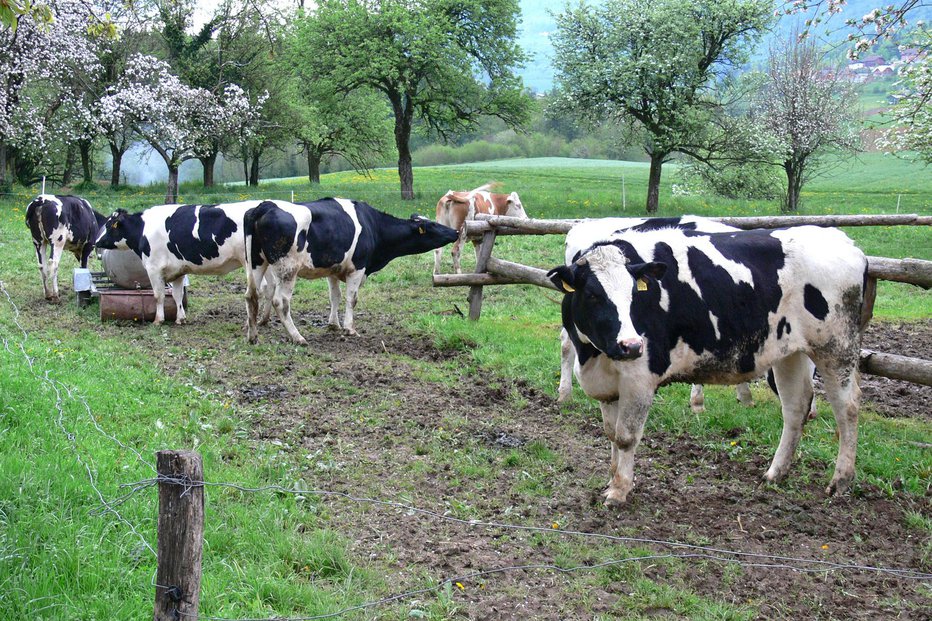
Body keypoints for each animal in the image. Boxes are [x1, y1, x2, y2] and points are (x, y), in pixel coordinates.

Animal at [95, 201, 288, 324]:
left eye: (109, 225)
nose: (96, 242)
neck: (143, 229)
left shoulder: (153, 268)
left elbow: (158, 295)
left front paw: (158, 320)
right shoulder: (178, 270)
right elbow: (177, 295)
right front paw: (180, 318)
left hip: (251, 263)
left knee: (259, 290)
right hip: (263, 262)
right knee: (270, 287)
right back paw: (263, 319)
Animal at [242, 197, 456, 344]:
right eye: (433, 225)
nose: (455, 231)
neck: (373, 225)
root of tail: (266, 205)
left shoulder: (333, 269)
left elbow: (334, 297)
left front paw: (333, 325)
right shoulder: (358, 268)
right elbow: (351, 299)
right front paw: (349, 328)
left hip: (256, 263)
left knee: (251, 296)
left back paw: (253, 336)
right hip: (287, 269)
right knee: (281, 301)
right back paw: (297, 337)